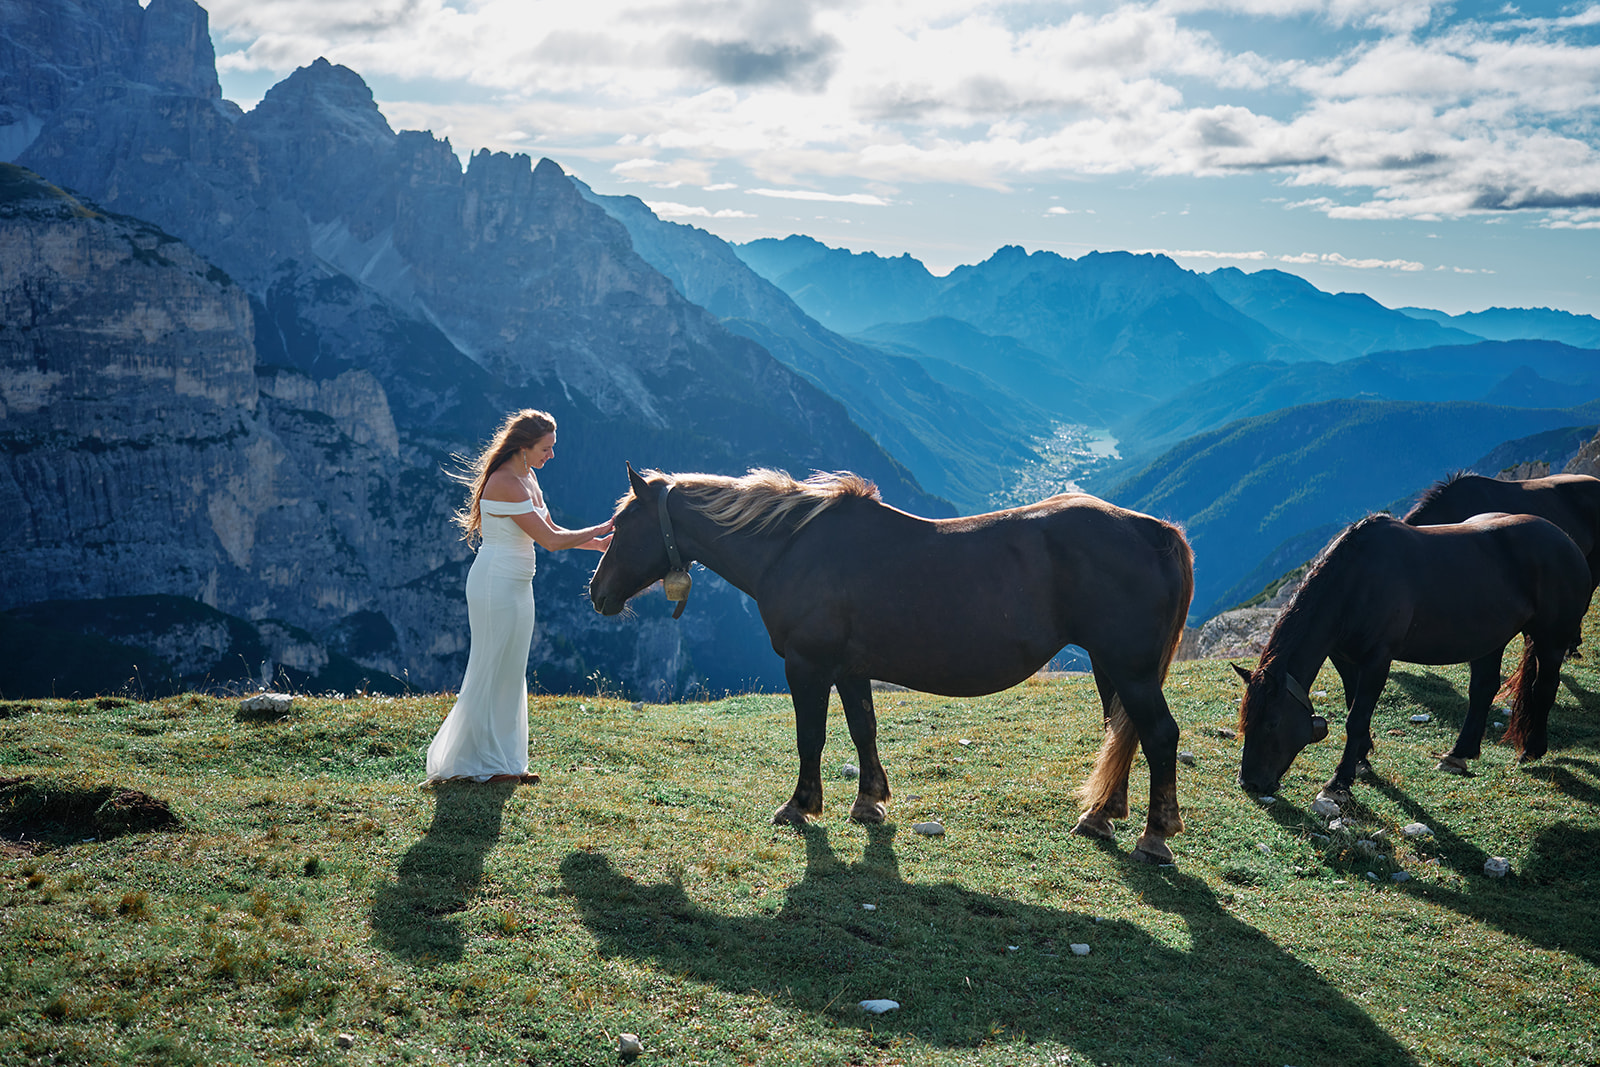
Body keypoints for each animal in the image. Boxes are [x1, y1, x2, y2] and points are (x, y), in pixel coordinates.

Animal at [590, 465, 1195, 863]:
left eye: (622, 526)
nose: (596, 592)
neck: (790, 546)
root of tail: (1154, 531)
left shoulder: (808, 666)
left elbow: (811, 736)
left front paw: (800, 805)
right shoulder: (849, 669)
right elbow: (863, 729)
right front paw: (869, 802)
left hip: (1131, 669)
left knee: (1159, 734)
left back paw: (1155, 835)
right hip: (1111, 665)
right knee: (1124, 729)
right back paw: (1101, 816)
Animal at [1234, 512, 1589, 801]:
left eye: (1272, 723)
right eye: (1246, 720)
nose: (1249, 783)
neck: (1356, 582)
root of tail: (1568, 541)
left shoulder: (1378, 660)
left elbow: (1356, 717)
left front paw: (1340, 781)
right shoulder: (1344, 657)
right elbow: (1353, 706)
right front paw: (1362, 759)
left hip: (1550, 641)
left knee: (1544, 688)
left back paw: (1531, 749)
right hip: (1489, 641)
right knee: (1484, 688)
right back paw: (1459, 753)